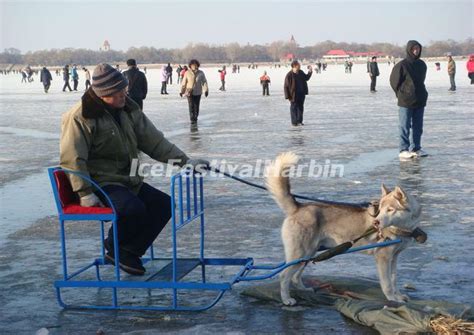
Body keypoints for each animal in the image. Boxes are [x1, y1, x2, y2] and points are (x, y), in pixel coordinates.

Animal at [264, 152, 424, 308]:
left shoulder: (394, 257)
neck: (402, 228)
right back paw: (286, 299)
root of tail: (298, 207)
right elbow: (387, 284)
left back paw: (304, 289)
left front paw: (398, 296)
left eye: (390, 209)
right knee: (284, 276)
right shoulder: (383, 258)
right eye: (381, 209)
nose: (376, 222)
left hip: (309, 253)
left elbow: (394, 280)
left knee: (295, 277)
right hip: (300, 253)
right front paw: (392, 299)